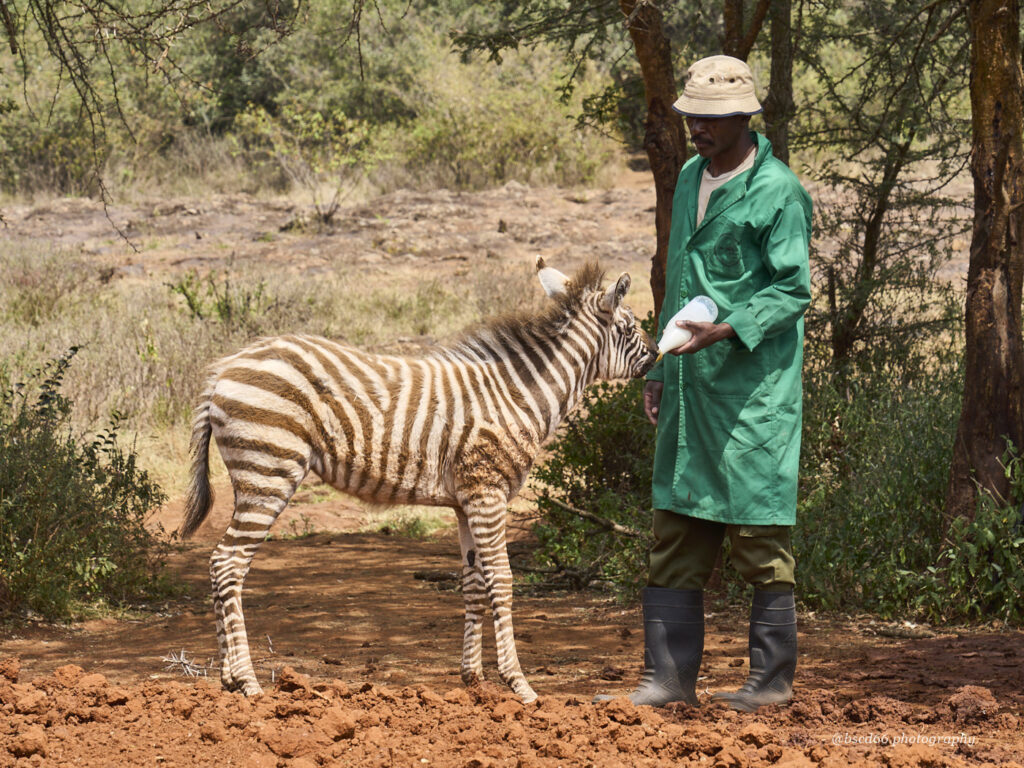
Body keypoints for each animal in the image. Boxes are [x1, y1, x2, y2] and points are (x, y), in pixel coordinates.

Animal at [179, 257, 657, 703]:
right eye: (628, 325)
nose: (657, 355)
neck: (517, 394)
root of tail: (223, 369)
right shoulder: (489, 494)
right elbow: (502, 581)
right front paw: (519, 685)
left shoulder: (466, 501)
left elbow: (473, 584)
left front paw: (473, 680)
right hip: (270, 470)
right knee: (228, 563)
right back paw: (248, 682)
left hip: (255, 472)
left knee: (218, 564)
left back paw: (227, 681)